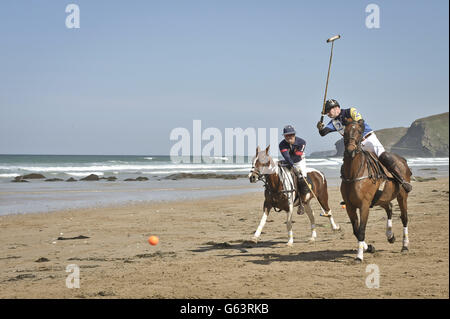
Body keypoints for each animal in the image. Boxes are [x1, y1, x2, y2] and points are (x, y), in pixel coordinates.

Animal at [342, 120, 412, 262]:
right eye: (344, 132)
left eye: (359, 131)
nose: (350, 151)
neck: (353, 174)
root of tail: (403, 160)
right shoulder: (350, 206)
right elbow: (356, 230)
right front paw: (368, 247)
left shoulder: (364, 205)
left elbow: (361, 230)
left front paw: (359, 256)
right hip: (381, 198)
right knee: (389, 208)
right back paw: (390, 236)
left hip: (402, 196)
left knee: (404, 218)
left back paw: (405, 246)